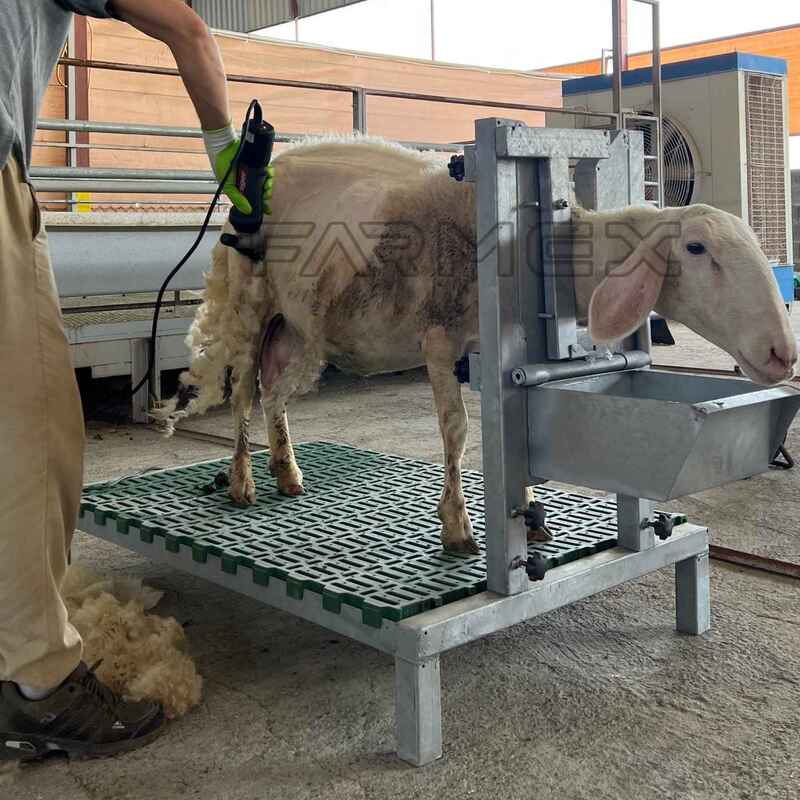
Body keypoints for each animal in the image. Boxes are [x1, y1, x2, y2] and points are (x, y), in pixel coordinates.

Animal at [158, 135, 797, 556]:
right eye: (696, 248)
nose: (782, 355)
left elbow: (516, 425)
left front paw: (532, 519)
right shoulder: (441, 337)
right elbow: (458, 431)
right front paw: (459, 528)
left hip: (301, 325)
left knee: (275, 390)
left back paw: (287, 471)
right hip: (251, 301)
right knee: (245, 391)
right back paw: (242, 481)